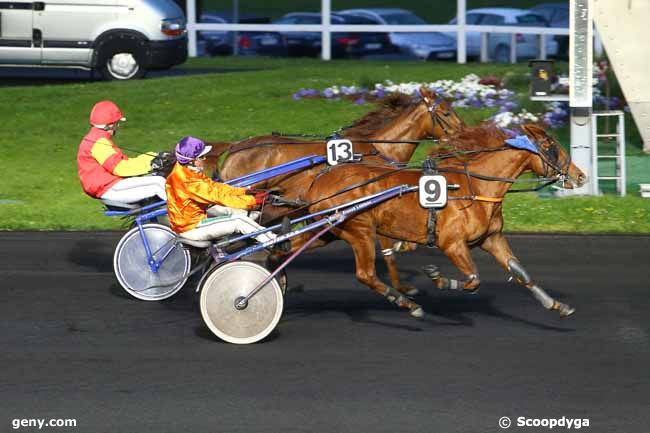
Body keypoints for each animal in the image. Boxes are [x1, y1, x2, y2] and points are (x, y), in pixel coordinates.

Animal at [280, 124, 584, 318]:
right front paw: (438, 278)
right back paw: (406, 302)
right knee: (365, 274)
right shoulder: (452, 243)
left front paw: (556, 305)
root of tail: (320, 178)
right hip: (360, 230)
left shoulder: (491, 239)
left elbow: (521, 273)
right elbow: (473, 279)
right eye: (552, 147)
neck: (476, 187)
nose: (581, 176)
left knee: (285, 250)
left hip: (326, 230)